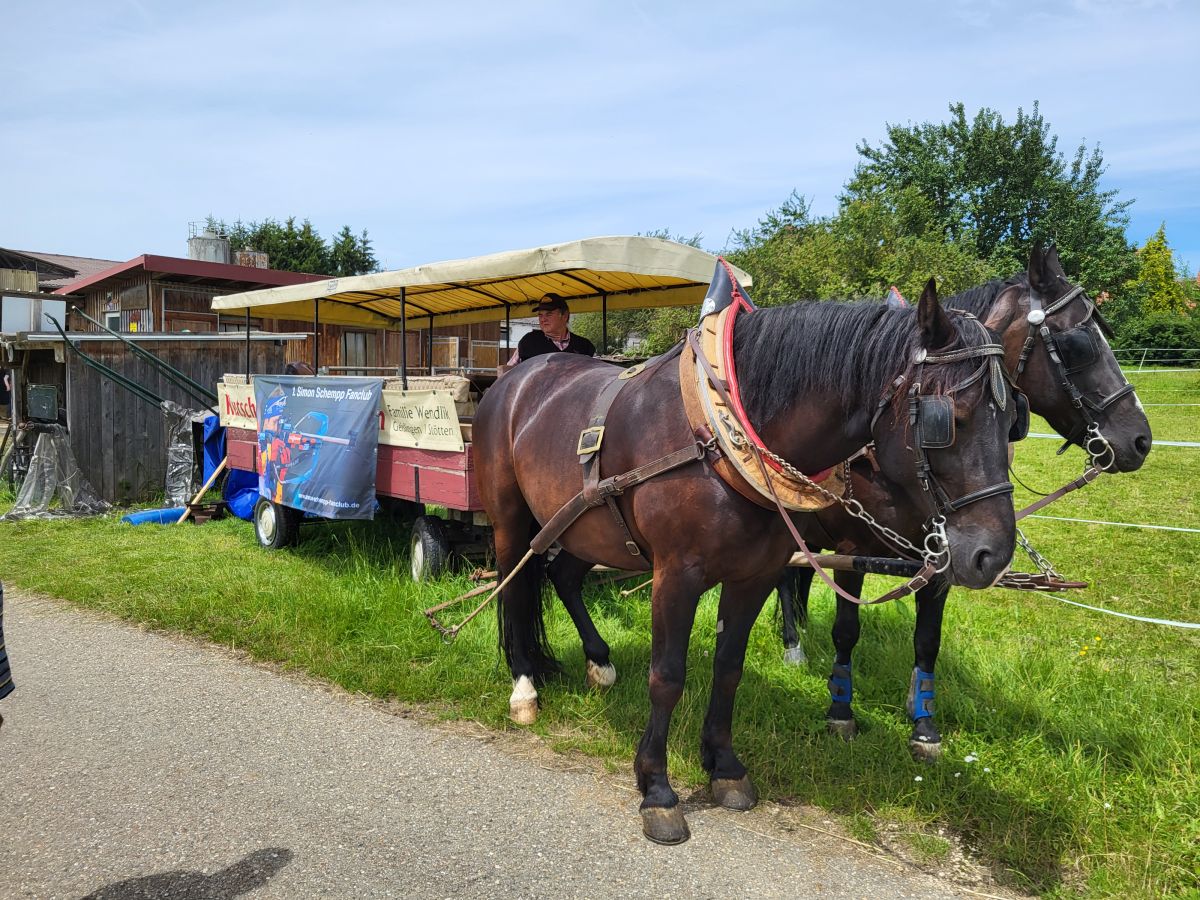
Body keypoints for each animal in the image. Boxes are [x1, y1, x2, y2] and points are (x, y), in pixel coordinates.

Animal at [472, 280, 1017, 844]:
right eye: (947, 421)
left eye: (1012, 418)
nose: (993, 556)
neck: (722, 434)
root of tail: (515, 378)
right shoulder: (676, 575)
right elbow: (667, 677)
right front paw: (657, 789)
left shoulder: (754, 576)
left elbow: (729, 668)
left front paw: (725, 768)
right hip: (511, 522)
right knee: (514, 588)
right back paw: (524, 686)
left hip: (586, 527)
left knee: (562, 575)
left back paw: (598, 662)